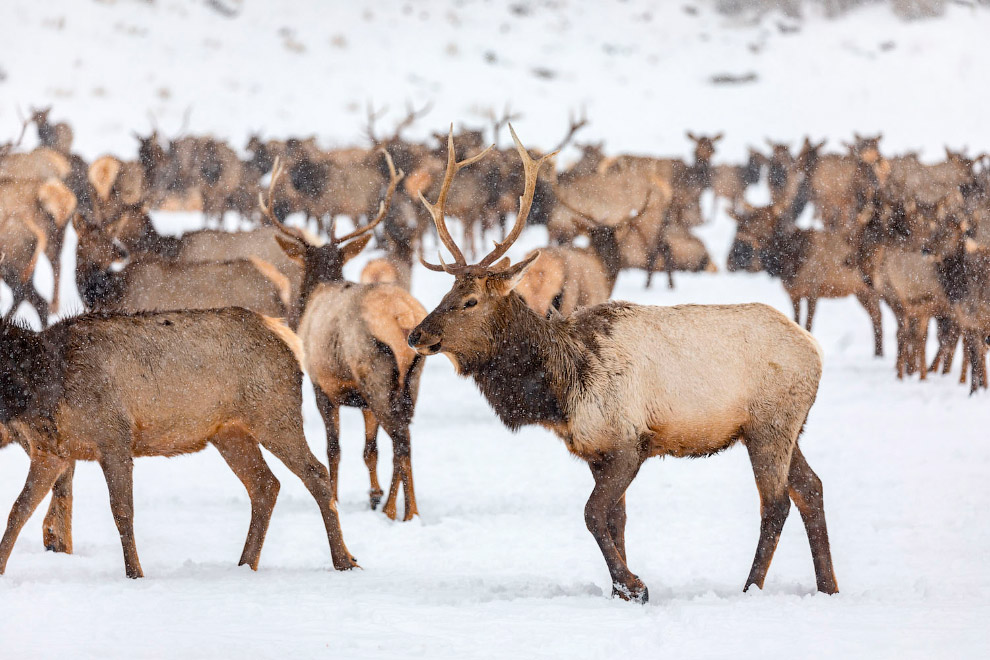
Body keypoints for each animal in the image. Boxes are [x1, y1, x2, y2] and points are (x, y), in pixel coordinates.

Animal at [0, 306, 356, 576]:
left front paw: (135, 573)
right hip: (229, 433)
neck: (46, 391)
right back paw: (245, 564)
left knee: (316, 473)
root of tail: (287, 337)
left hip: (275, 415)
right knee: (265, 484)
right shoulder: (52, 452)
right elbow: (18, 509)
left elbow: (122, 511)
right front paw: (2, 568)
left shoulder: (114, 438)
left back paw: (344, 561)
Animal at [260, 152, 426, 520]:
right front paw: (372, 494)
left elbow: (333, 448)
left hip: (375, 372)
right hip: (412, 378)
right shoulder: (360, 401)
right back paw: (402, 507)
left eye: (304, 265)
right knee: (404, 434)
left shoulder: (322, 385)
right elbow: (369, 449)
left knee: (402, 439)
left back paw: (402, 511)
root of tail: (403, 318)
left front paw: (337, 496)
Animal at [408, 124, 836, 604]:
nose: (416, 334)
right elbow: (615, 519)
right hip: (787, 427)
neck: (561, 390)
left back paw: (751, 588)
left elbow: (592, 514)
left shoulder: (630, 442)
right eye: (446, 292)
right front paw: (621, 589)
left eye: (470, 300)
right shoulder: (596, 450)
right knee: (812, 488)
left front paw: (635, 585)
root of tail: (814, 349)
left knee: (776, 502)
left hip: (769, 424)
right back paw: (828, 587)